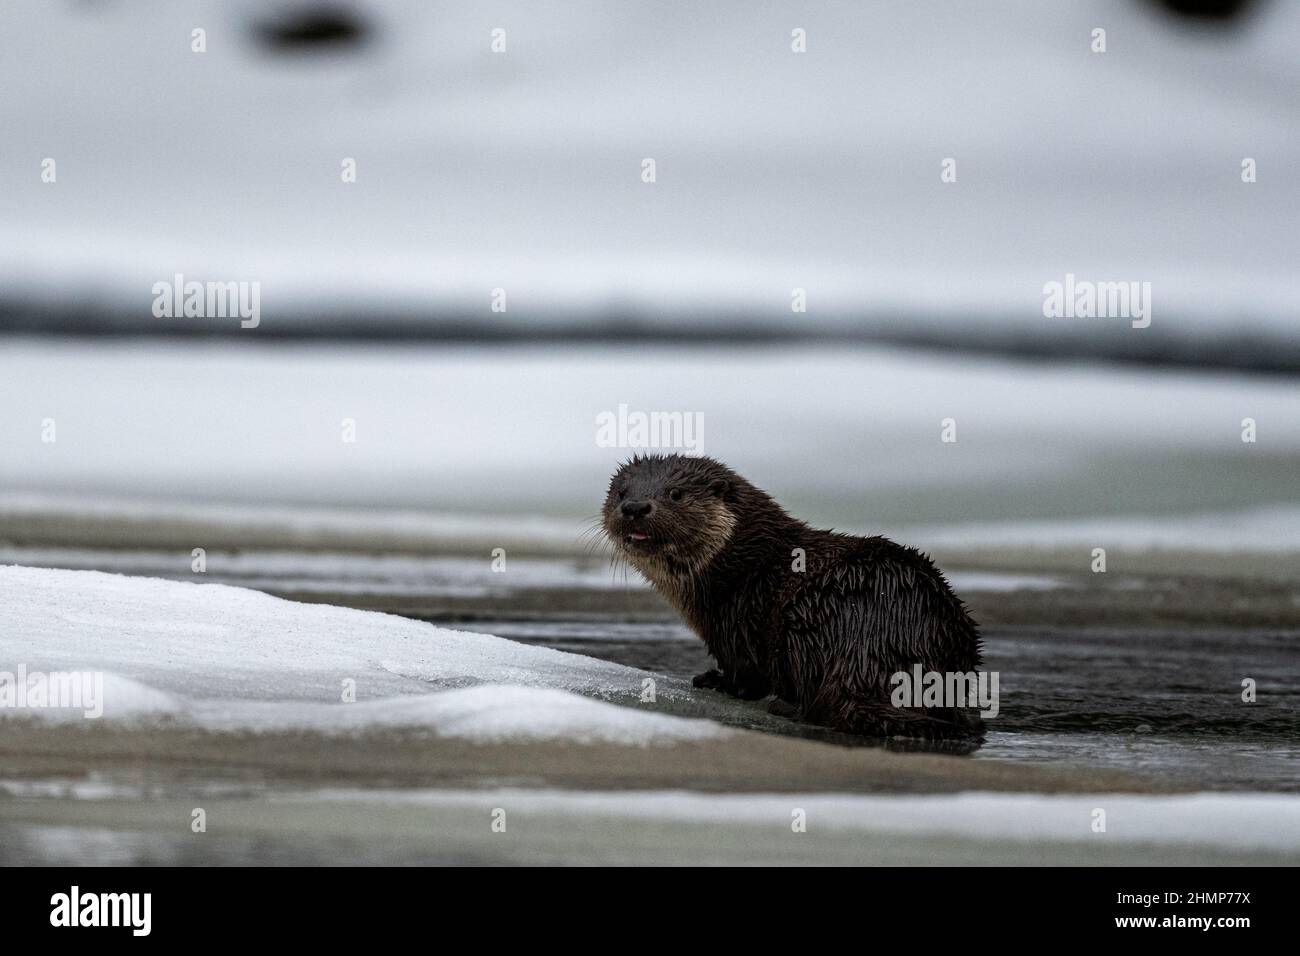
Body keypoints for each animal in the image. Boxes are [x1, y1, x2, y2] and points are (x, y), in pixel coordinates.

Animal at [602, 454, 983, 740]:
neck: (742, 563)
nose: (635, 506)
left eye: (676, 493)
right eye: (621, 492)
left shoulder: (737, 618)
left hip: (804, 617)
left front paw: (714, 681)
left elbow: (746, 674)